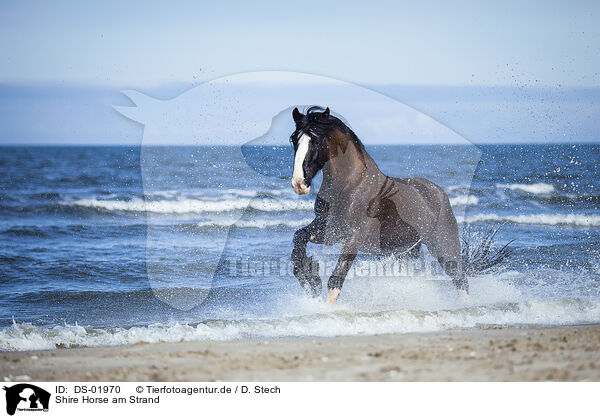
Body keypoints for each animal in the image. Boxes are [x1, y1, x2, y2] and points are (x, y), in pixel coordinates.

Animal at [288, 106, 472, 306]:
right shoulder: (328, 230)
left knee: (460, 278)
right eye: (294, 139)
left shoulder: (353, 238)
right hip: (407, 250)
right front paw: (311, 279)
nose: (298, 184)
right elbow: (298, 240)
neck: (350, 186)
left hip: (443, 246)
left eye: (316, 140)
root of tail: (439, 192)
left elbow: (336, 277)